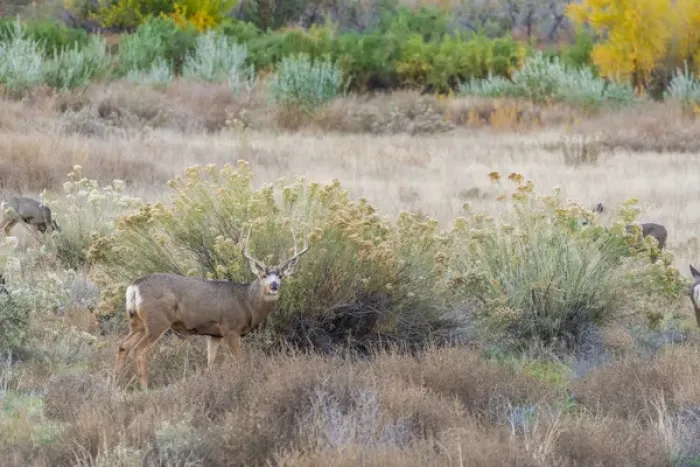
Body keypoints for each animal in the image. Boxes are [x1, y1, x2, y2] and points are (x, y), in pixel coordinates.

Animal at [113, 227, 310, 390]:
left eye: (280, 276)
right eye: (263, 275)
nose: (274, 286)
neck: (246, 302)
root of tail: (134, 287)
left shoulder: (214, 333)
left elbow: (210, 363)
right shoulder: (230, 328)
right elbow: (239, 360)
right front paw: (243, 380)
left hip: (137, 322)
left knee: (123, 345)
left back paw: (117, 383)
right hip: (157, 320)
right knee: (139, 350)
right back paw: (144, 387)